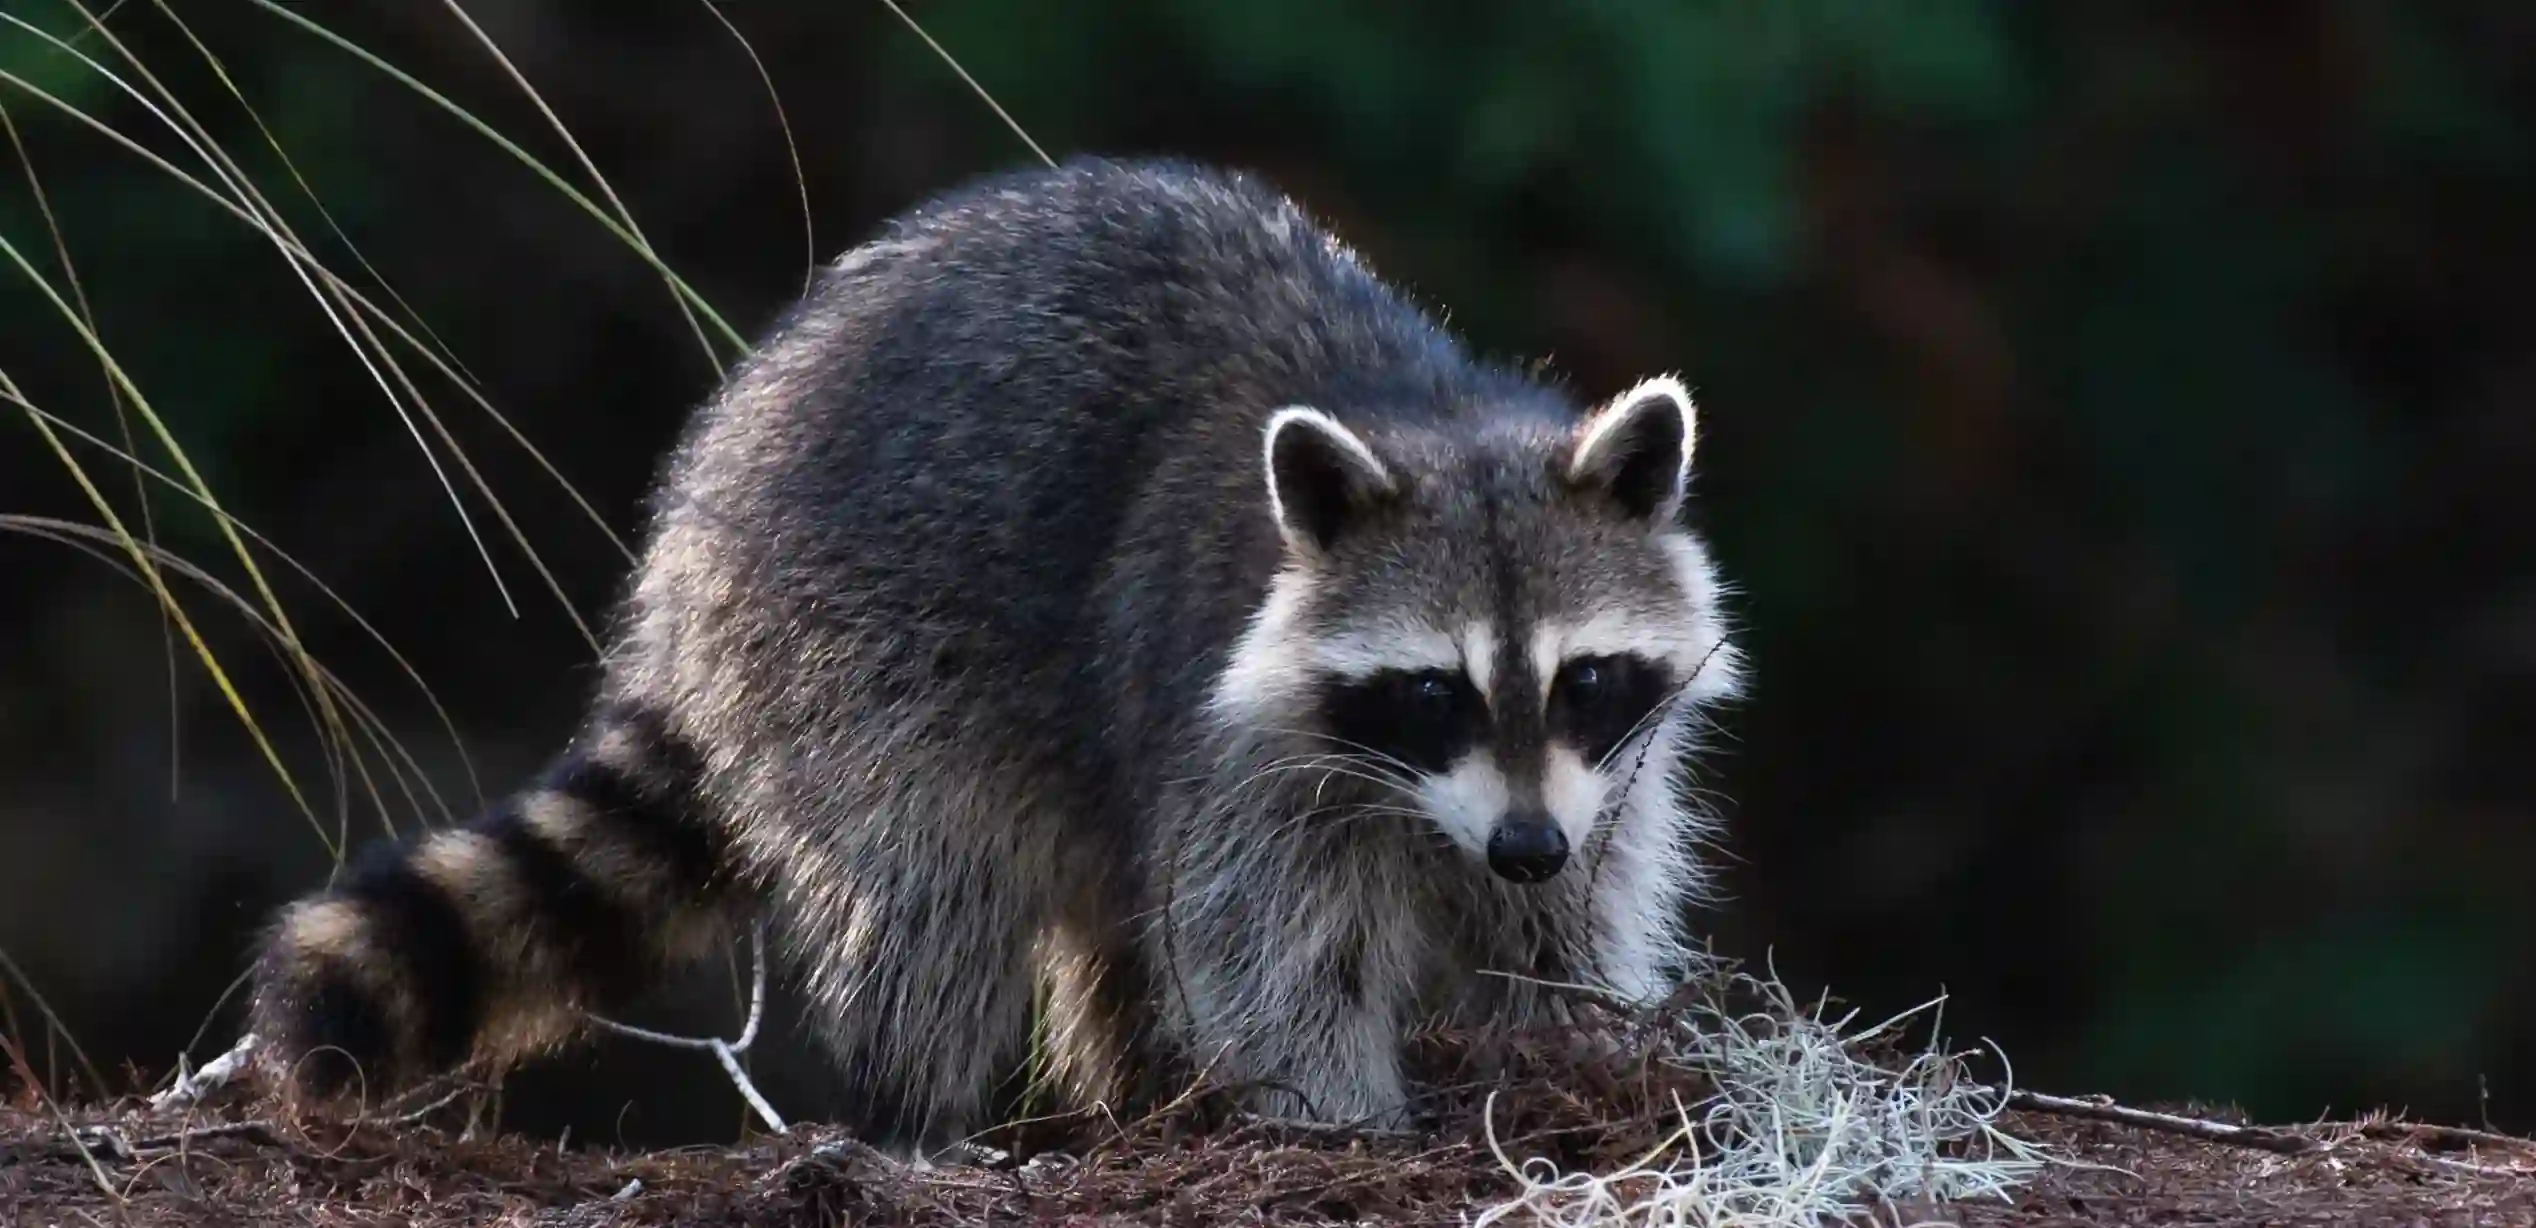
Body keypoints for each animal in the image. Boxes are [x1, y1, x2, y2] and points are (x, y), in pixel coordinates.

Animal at [246, 157, 1744, 1153]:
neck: (1430, 416)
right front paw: (1338, 1114)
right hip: (855, 647)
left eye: (1584, 678)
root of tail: (698, 513)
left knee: (1111, 915)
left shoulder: (1597, 776)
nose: (1523, 846)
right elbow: (1270, 952)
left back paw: (1132, 1093)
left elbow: (1566, 916)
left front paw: (1570, 1040)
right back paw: (919, 1116)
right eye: (1433, 690)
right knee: (935, 891)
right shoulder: (1229, 729)